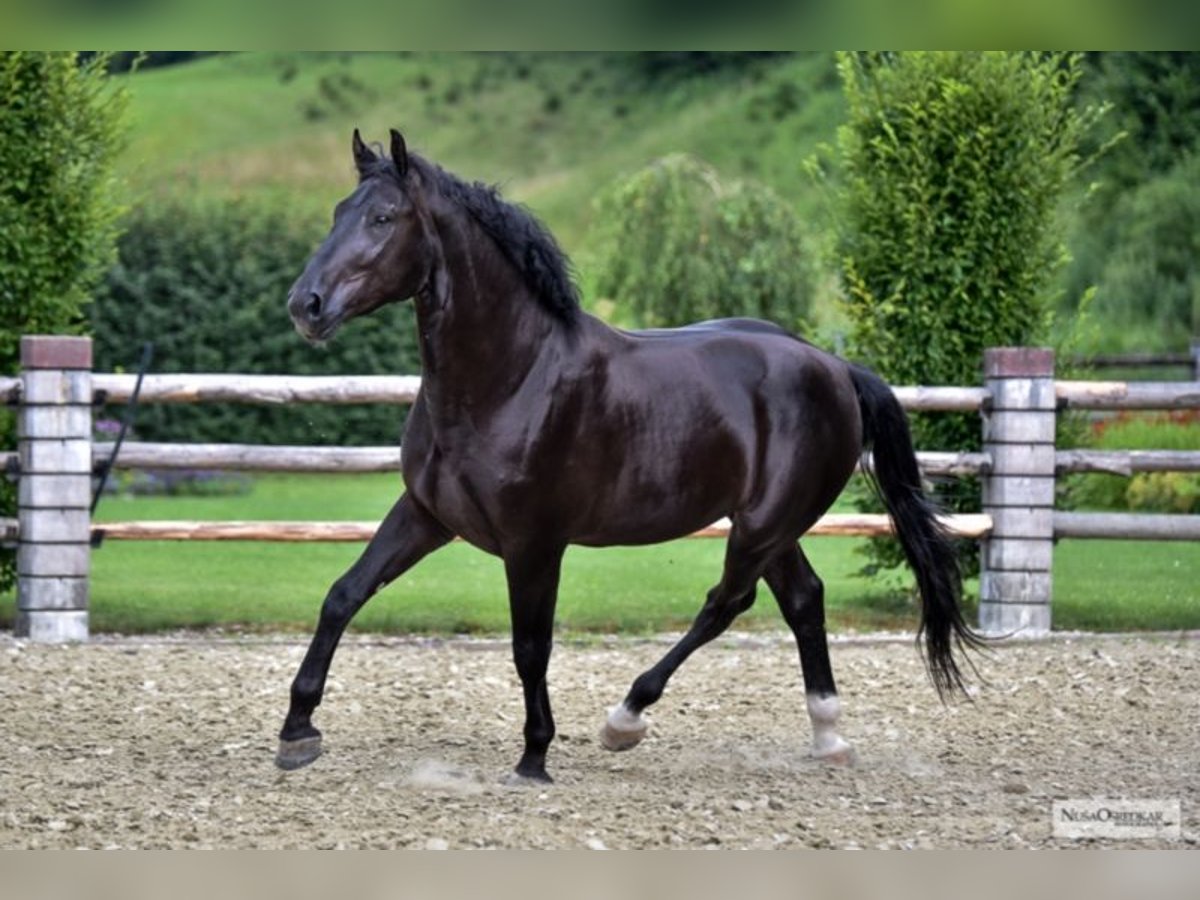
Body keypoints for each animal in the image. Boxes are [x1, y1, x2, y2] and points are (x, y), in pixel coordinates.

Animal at [278, 128, 984, 782]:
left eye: (383, 218)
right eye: (339, 211)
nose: (304, 305)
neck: (511, 376)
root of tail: (837, 367)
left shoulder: (534, 542)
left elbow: (530, 645)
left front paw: (534, 757)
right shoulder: (427, 515)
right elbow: (343, 595)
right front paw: (297, 733)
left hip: (763, 526)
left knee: (726, 602)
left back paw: (625, 720)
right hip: (772, 527)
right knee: (803, 598)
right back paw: (829, 737)